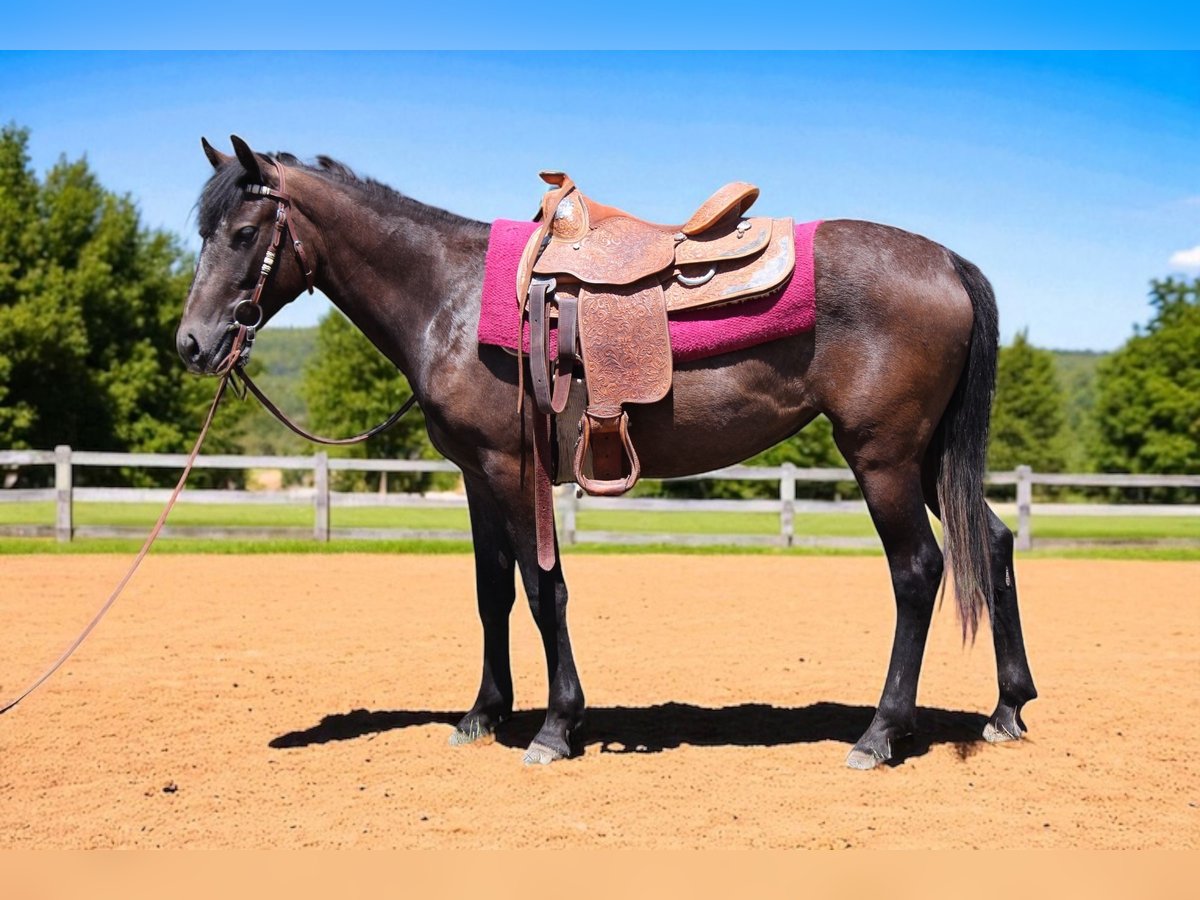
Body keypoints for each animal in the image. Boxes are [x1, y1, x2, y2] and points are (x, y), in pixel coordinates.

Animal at [177, 136, 1037, 769]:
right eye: (203, 235)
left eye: (245, 235)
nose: (192, 343)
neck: (452, 298)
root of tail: (947, 262)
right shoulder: (476, 478)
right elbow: (492, 593)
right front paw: (483, 714)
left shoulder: (513, 469)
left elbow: (542, 589)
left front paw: (558, 728)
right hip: (928, 459)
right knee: (993, 543)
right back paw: (1006, 709)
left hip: (883, 456)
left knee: (918, 571)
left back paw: (880, 733)